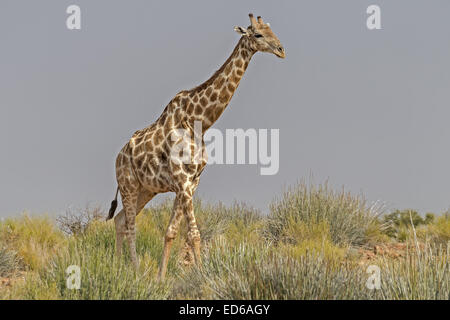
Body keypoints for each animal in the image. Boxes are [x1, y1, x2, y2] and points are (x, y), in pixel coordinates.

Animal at [106, 13, 284, 280]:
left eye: (272, 30)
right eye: (258, 34)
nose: (281, 50)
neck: (199, 121)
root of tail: (118, 157)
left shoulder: (191, 182)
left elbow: (171, 231)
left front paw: (161, 278)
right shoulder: (182, 179)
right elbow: (193, 234)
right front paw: (201, 277)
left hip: (146, 189)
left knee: (119, 221)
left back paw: (118, 268)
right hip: (128, 184)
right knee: (129, 225)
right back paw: (134, 271)